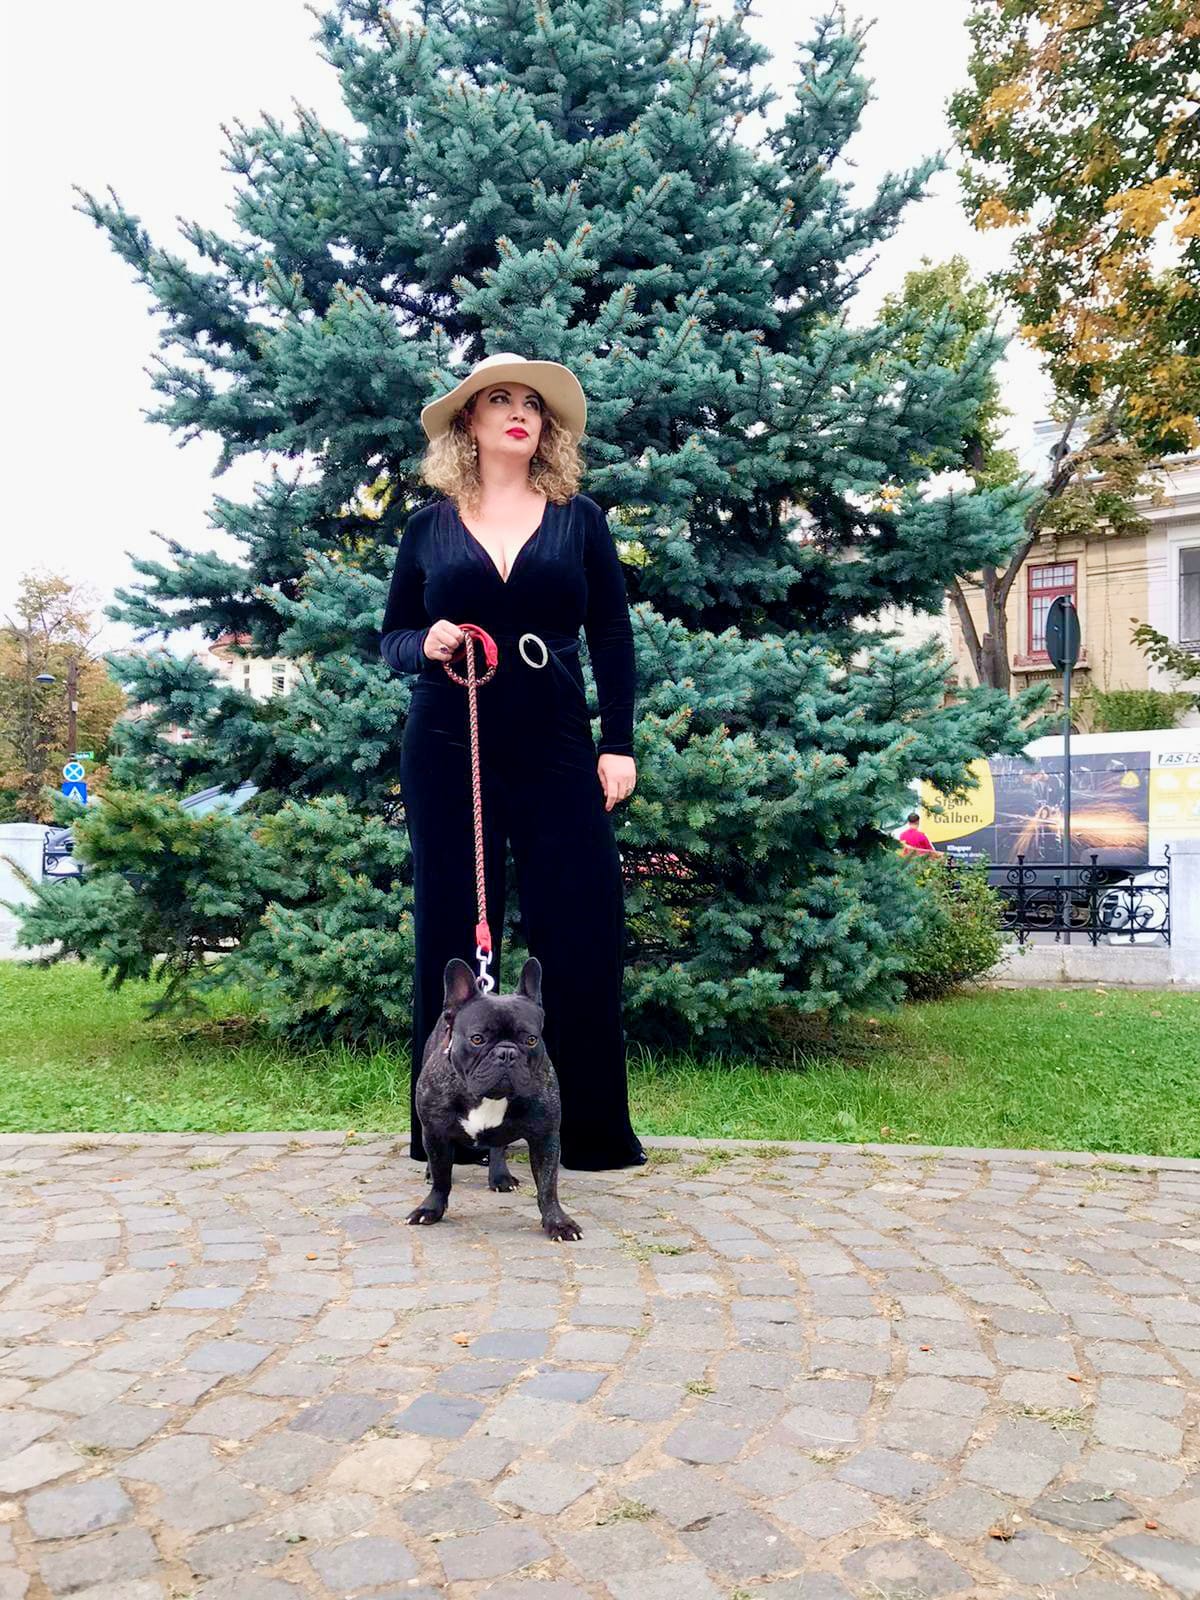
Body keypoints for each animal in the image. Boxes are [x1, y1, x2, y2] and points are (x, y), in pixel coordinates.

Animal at [406, 955, 582, 1242]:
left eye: (531, 1040)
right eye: (477, 1039)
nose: (506, 1053)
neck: (490, 1096)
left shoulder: (545, 1136)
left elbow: (547, 1185)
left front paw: (558, 1222)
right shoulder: (435, 1131)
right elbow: (443, 1177)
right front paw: (430, 1208)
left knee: (498, 1146)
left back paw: (500, 1176)